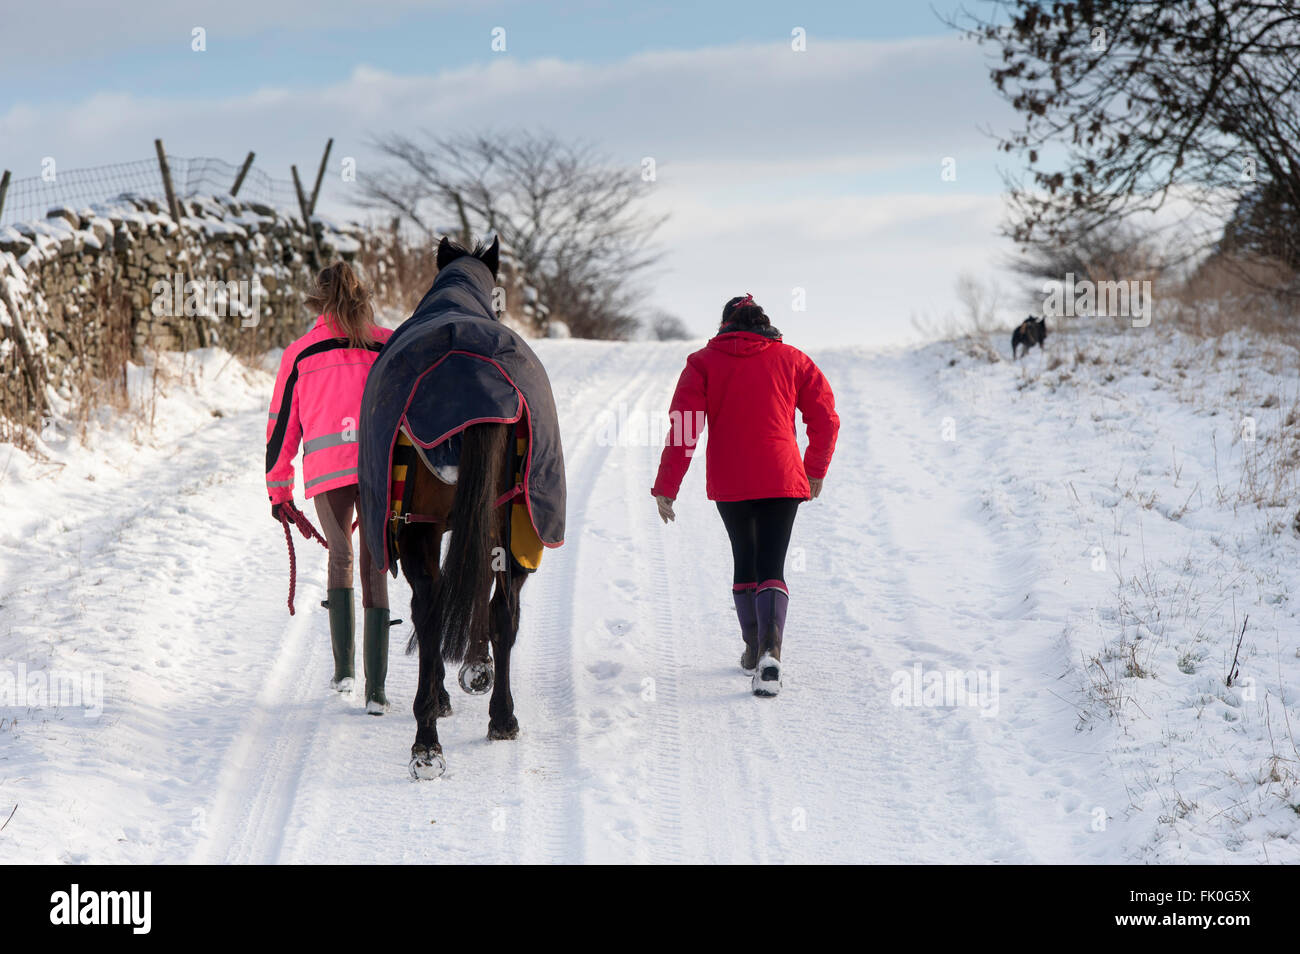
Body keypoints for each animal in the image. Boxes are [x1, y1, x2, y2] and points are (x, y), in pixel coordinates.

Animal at [357, 237, 566, 780]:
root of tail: (474, 386)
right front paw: (476, 673)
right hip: (506, 524)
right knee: (498, 611)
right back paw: (492, 720)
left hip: (431, 528)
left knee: (437, 611)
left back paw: (431, 736)